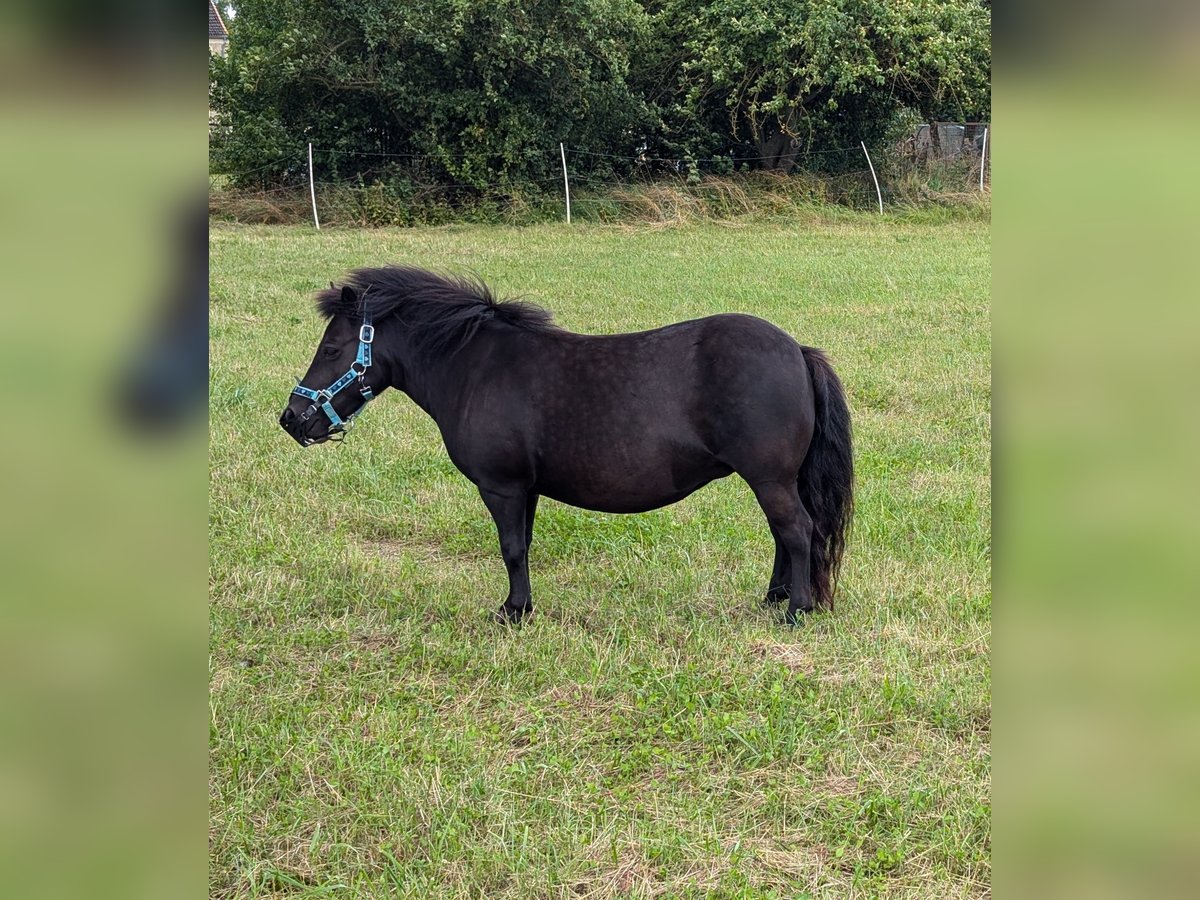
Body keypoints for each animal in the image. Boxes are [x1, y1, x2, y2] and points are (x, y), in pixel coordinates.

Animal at [277, 264, 854, 624]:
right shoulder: (525, 489)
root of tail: (797, 350)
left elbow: (511, 548)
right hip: (773, 480)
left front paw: (513, 613)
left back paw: (796, 610)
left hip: (769, 478)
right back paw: (774, 599)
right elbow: (523, 546)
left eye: (332, 348)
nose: (291, 419)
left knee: (796, 532)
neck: (476, 367)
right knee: (785, 534)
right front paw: (521, 606)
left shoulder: (502, 487)